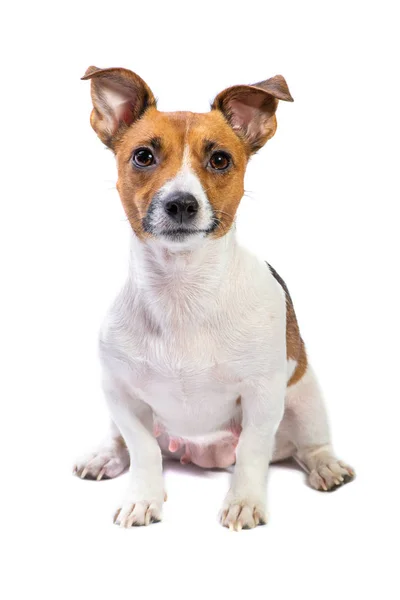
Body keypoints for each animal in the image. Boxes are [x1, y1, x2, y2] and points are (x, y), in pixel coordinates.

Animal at [73, 68, 354, 532]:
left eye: (220, 160)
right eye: (143, 156)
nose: (181, 203)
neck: (182, 288)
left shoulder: (262, 396)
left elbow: (253, 451)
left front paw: (244, 502)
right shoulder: (121, 394)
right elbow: (143, 450)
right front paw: (143, 498)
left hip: (304, 396)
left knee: (309, 444)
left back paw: (325, 465)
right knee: (127, 443)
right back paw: (104, 456)